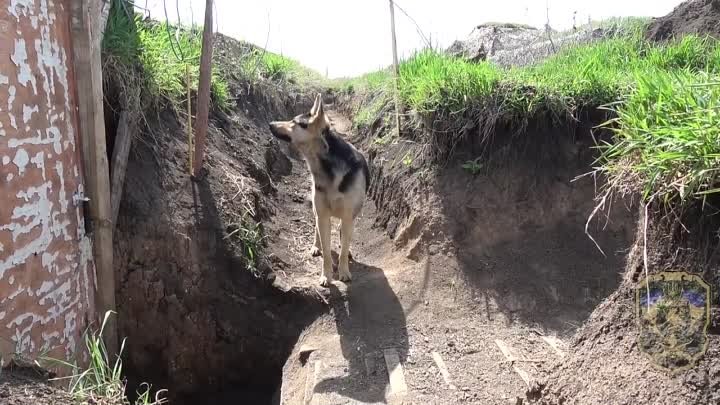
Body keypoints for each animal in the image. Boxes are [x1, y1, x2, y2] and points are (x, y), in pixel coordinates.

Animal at [270, 93, 372, 286]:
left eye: (295, 122)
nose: (270, 123)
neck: (327, 166)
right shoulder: (323, 214)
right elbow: (326, 250)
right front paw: (326, 274)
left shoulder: (348, 216)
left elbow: (343, 245)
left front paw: (344, 270)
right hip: (317, 208)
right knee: (317, 228)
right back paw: (316, 246)